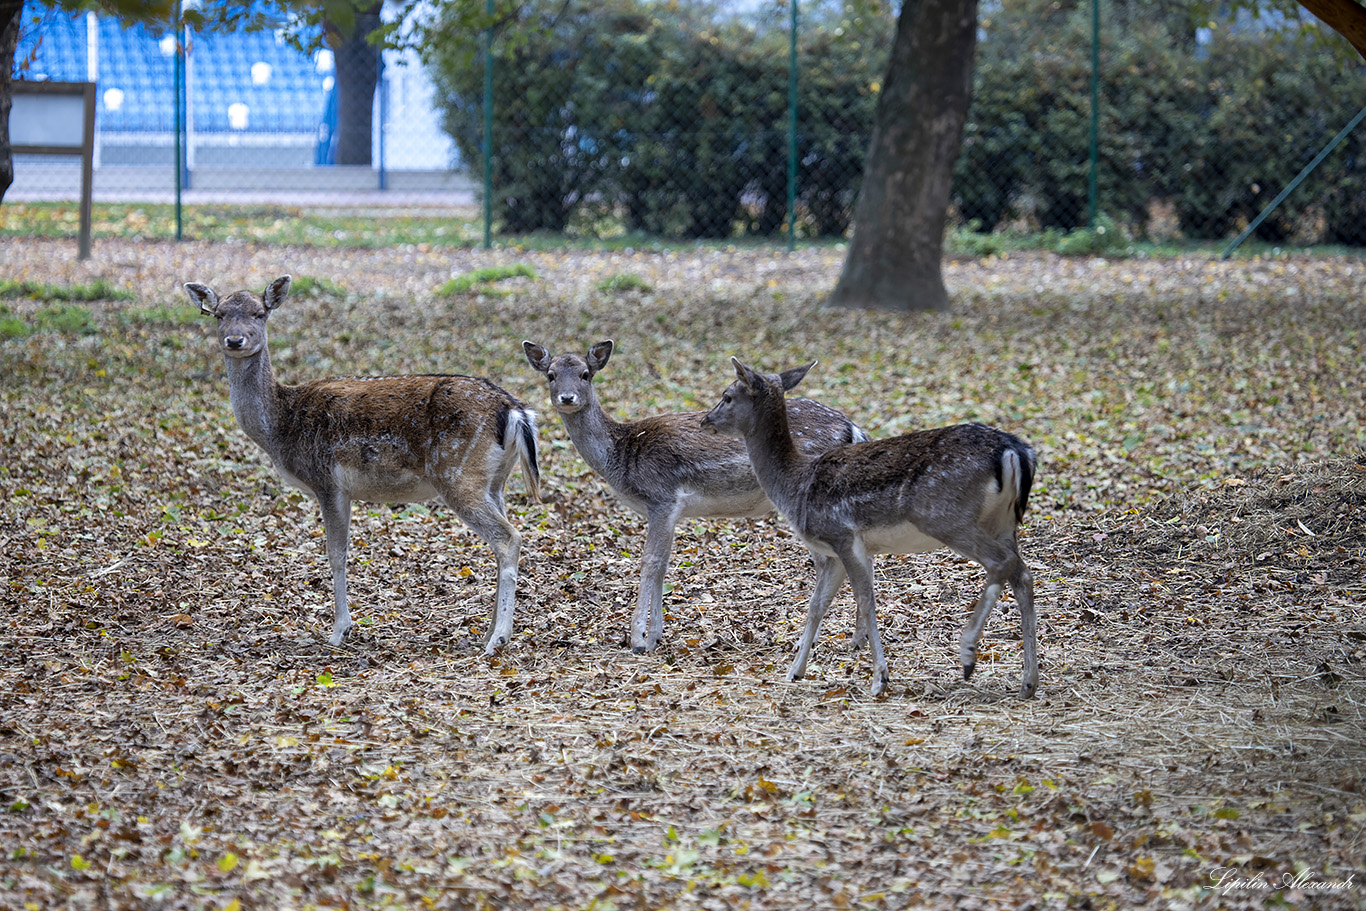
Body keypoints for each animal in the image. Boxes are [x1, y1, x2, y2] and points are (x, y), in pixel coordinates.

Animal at [187, 274, 538, 652]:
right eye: (219, 314)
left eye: (259, 313)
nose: (234, 340)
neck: (280, 426)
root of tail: (515, 411)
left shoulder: (327, 481)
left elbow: (336, 554)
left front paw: (339, 630)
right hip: (494, 480)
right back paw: (489, 632)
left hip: (457, 474)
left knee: (508, 538)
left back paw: (498, 638)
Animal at [521, 338, 863, 652]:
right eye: (551, 375)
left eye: (585, 374)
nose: (567, 397)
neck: (622, 456)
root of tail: (853, 429)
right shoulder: (671, 510)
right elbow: (663, 564)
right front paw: (656, 636)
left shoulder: (661, 497)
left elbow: (650, 561)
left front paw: (638, 640)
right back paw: (854, 640)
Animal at [704, 355, 1032, 699]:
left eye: (727, 396)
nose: (705, 420)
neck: (795, 486)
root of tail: (1013, 450)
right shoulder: (832, 552)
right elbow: (817, 605)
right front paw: (795, 671)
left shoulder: (842, 536)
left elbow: (865, 600)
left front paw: (879, 678)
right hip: (1002, 523)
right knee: (1022, 574)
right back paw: (1028, 682)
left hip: (947, 517)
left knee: (1002, 563)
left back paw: (968, 654)